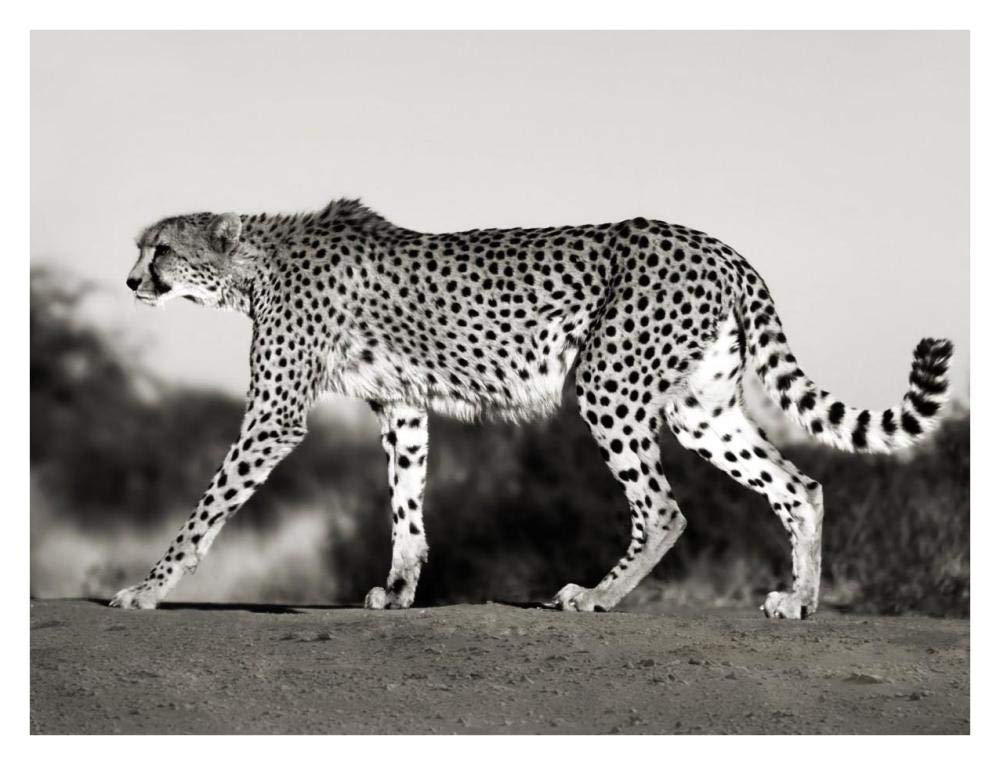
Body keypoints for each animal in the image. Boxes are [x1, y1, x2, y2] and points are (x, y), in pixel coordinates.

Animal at [112, 199, 953, 617]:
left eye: (160, 250)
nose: (130, 281)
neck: (254, 264)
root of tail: (717, 245)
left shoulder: (276, 412)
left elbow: (207, 508)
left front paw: (147, 588)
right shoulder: (403, 404)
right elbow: (406, 503)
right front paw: (400, 589)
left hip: (609, 383)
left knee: (664, 507)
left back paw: (597, 594)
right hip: (700, 408)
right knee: (800, 484)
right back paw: (799, 600)